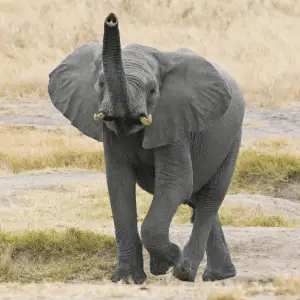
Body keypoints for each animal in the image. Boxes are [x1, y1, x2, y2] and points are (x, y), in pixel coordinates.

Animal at [48, 13, 245, 284]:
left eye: (152, 90)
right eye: (101, 84)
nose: (111, 19)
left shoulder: (175, 120)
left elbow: (176, 182)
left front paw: (166, 261)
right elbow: (118, 185)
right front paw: (127, 279)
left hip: (232, 139)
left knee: (209, 197)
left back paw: (185, 272)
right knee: (198, 198)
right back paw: (217, 275)